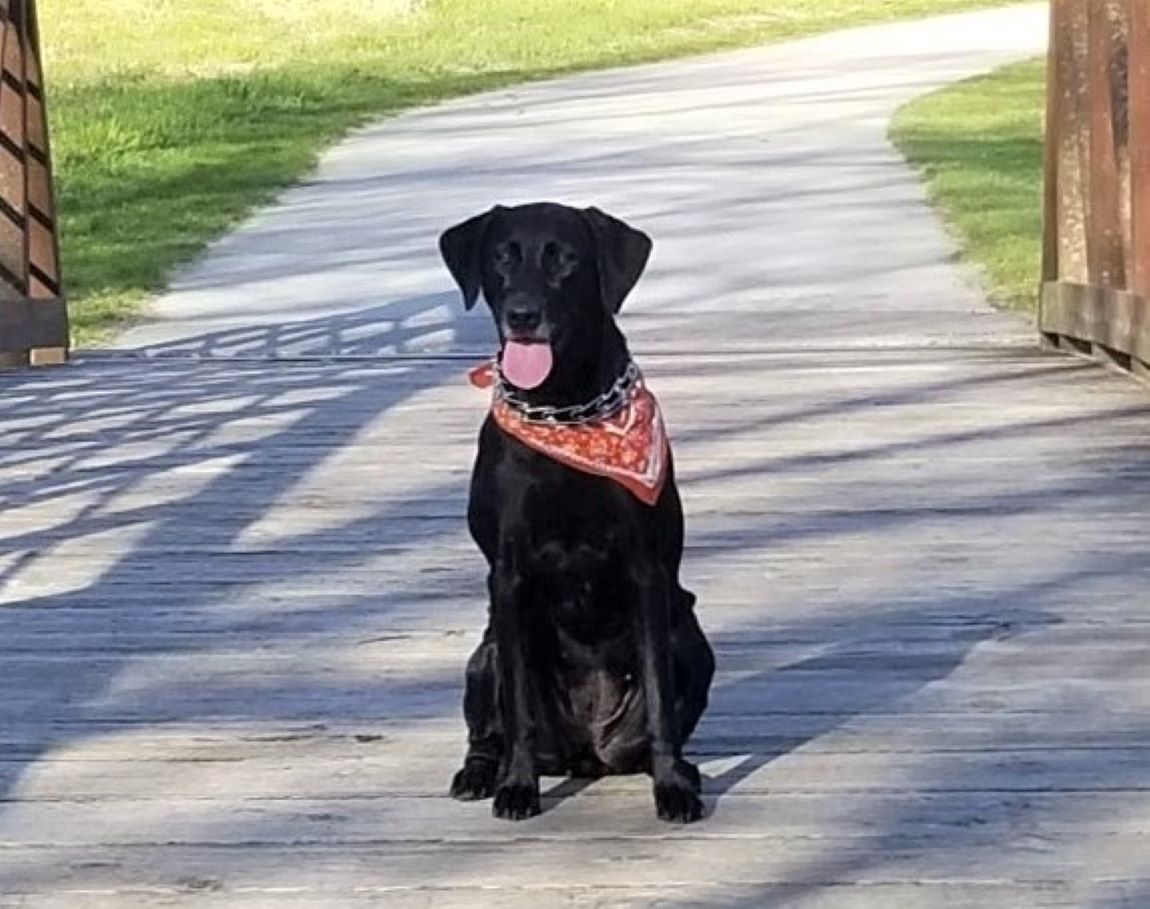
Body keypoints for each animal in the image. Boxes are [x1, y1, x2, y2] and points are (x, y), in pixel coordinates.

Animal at [437, 202, 708, 823]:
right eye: (501, 257)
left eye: (564, 260)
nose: (522, 315)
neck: (563, 406)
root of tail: (588, 754)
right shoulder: (508, 575)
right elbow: (515, 706)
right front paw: (517, 786)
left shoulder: (647, 571)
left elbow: (660, 694)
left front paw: (672, 787)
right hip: (483, 654)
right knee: (488, 728)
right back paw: (479, 773)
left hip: (691, 634)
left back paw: (682, 769)